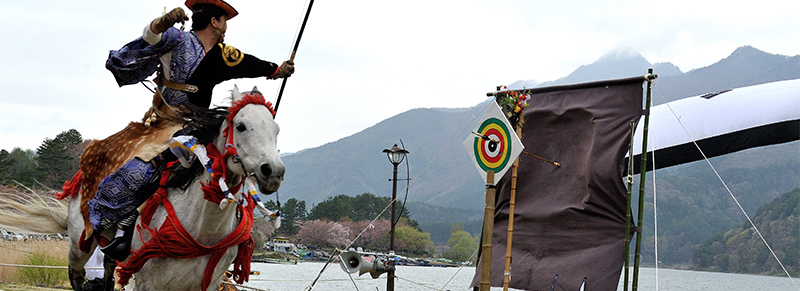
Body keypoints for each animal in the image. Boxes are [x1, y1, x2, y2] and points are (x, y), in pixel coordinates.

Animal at [0, 85, 284, 290]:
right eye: (241, 126)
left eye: (276, 130)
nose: (273, 171)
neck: (203, 227)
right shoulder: (148, 281)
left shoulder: (208, 283)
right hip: (79, 241)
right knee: (77, 274)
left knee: (107, 270)